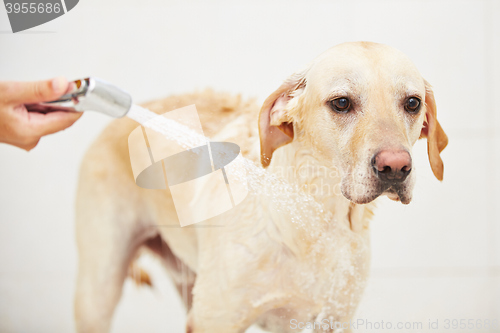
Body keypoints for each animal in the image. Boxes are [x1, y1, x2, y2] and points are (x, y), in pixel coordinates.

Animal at [75, 42, 450, 332]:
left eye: (412, 103)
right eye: (342, 102)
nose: (395, 168)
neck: (313, 218)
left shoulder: (333, 319)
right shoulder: (217, 318)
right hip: (98, 294)